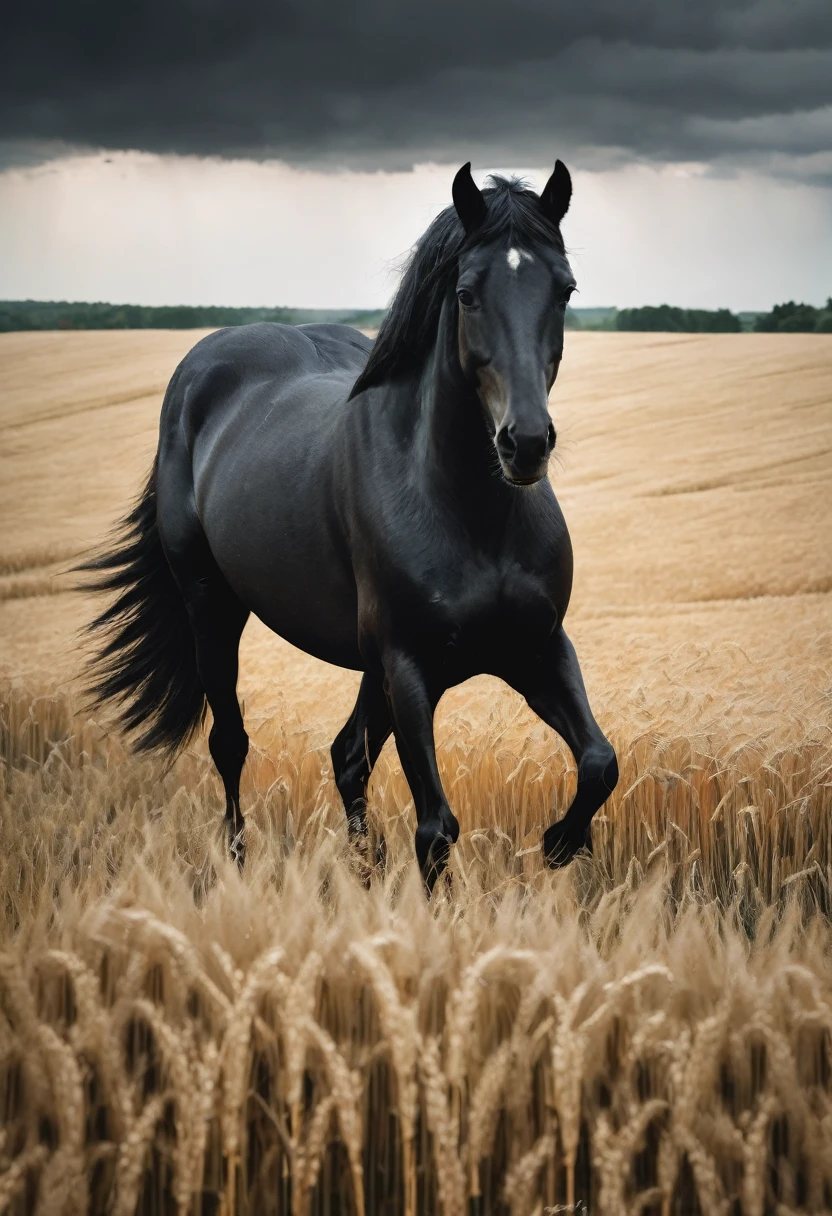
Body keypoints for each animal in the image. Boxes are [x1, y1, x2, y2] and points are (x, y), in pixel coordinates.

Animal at [84, 161, 617, 890]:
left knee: (346, 756)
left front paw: (561, 842)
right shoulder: (409, 666)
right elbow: (437, 828)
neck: (473, 514)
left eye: (564, 290)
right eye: (467, 294)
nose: (526, 444)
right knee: (231, 741)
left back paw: (365, 869)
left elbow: (599, 762)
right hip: (212, 607)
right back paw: (238, 864)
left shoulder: (535, 648)